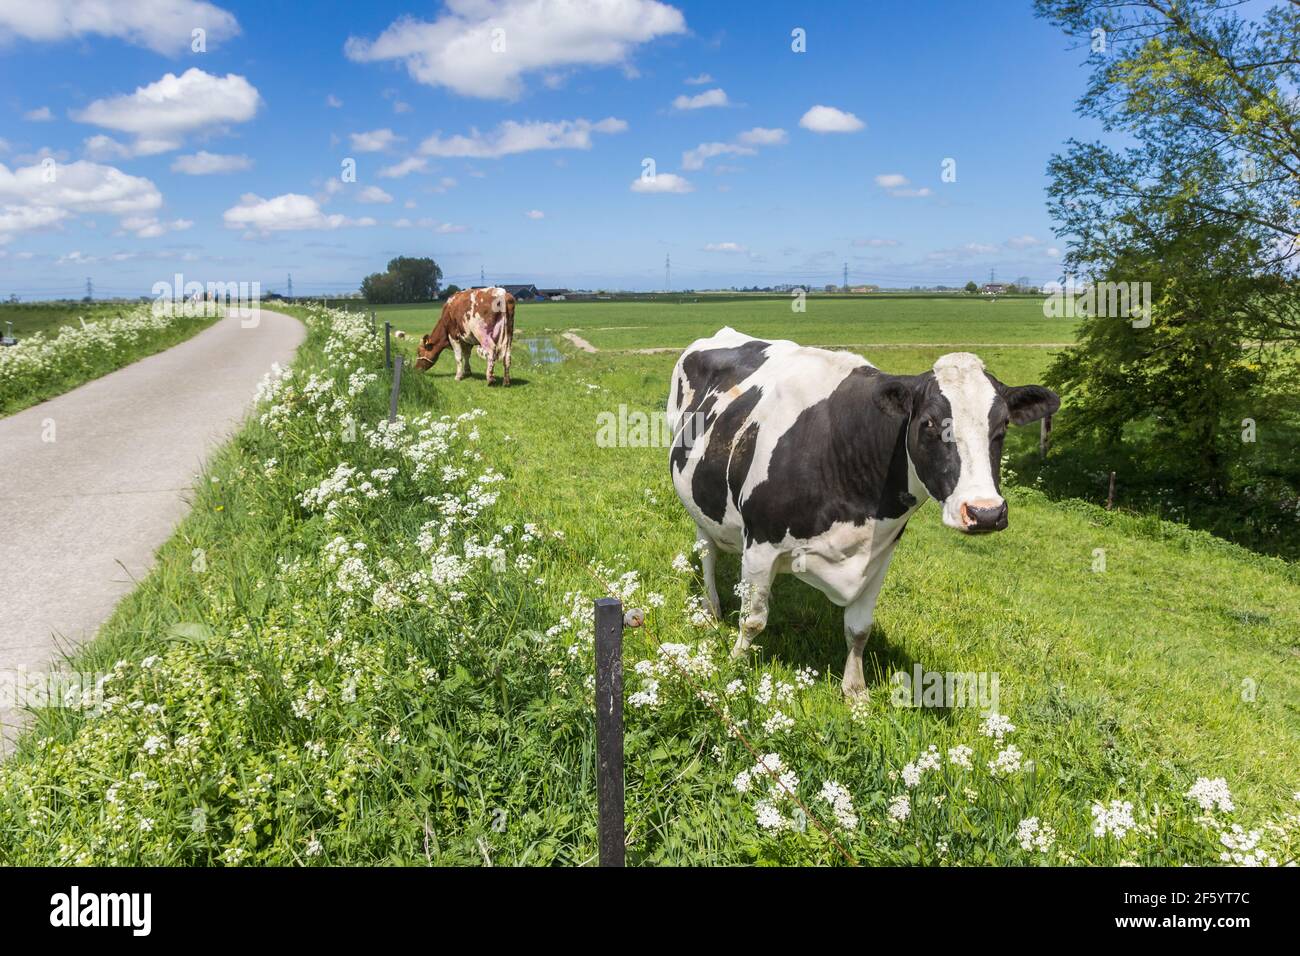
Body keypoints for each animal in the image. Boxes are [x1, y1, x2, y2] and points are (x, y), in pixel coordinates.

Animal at [667, 327, 1059, 698]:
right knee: (707, 551)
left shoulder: (879, 555)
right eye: (929, 423)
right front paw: (735, 665)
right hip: (696, 499)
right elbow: (752, 620)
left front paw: (856, 692)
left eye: (1003, 424)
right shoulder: (761, 541)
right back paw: (710, 609)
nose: (985, 512)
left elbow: (858, 630)